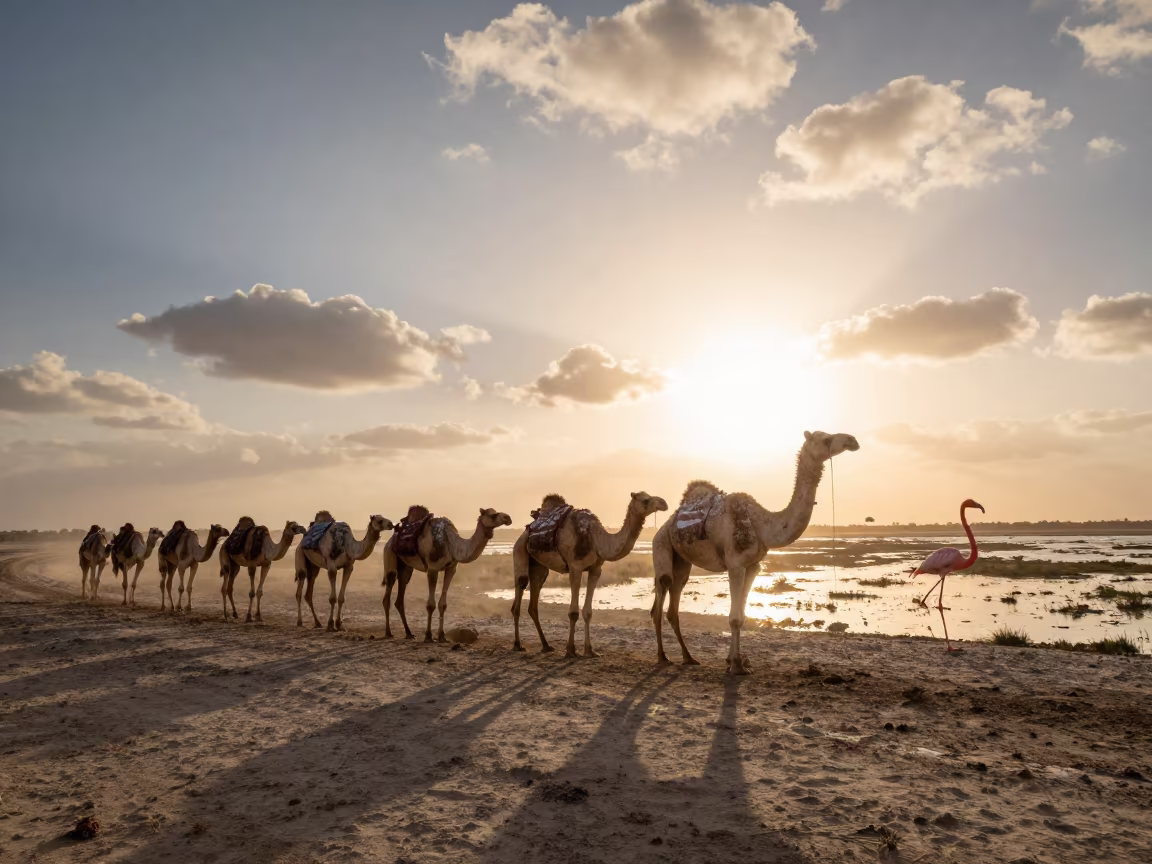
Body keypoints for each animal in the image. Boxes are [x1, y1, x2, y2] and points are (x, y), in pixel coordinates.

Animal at [382, 506, 513, 642]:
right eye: (492, 515)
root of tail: (391, 540)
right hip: (389, 555)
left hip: (406, 567)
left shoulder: (451, 569)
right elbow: (430, 605)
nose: (508, 518)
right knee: (388, 593)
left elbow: (443, 604)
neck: (451, 543)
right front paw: (428, 636)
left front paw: (442, 636)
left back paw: (409, 633)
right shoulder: (432, 568)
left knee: (400, 596)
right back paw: (388, 632)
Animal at [511, 491, 669, 657]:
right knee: (520, 589)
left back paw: (546, 646)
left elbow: (588, 612)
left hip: (539, 567)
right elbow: (573, 612)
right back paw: (517, 645)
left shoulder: (596, 569)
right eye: (645, 500)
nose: (664, 504)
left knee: (534, 601)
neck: (594, 537)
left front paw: (589, 650)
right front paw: (570, 650)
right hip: (519, 549)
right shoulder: (575, 567)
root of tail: (528, 529)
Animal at [651, 430, 860, 675]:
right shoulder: (735, 565)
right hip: (661, 545)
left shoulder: (753, 566)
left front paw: (735, 661)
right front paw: (736, 666)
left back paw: (688, 657)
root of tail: (666, 525)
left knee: (673, 603)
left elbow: (742, 615)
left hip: (683, 561)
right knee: (661, 595)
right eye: (825, 439)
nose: (852, 440)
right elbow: (734, 618)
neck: (762, 525)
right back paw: (663, 657)